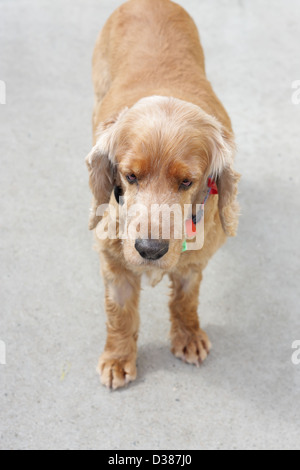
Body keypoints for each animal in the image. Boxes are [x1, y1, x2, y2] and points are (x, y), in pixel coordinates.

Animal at [85, 0, 240, 390]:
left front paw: (188, 336)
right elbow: (119, 313)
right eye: (130, 176)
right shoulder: (113, 265)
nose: (150, 250)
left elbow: (186, 300)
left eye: (186, 182)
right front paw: (117, 359)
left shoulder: (194, 264)